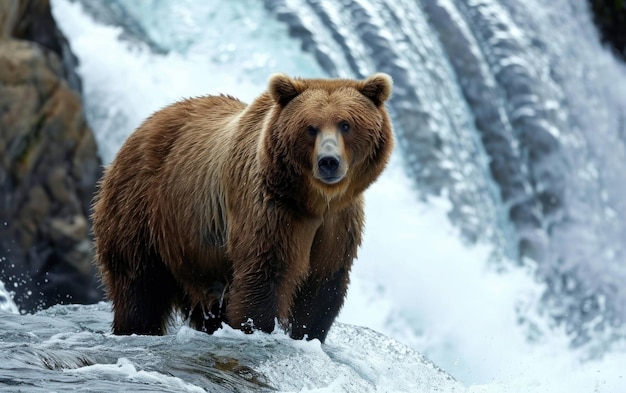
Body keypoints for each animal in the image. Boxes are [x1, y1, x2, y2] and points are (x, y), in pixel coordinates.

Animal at [90, 72, 392, 342]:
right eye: (310, 127)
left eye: (345, 124)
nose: (328, 161)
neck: (315, 201)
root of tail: (144, 125)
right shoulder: (270, 207)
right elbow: (265, 273)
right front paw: (256, 328)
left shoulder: (339, 224)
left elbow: (322, 285)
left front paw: (306, 333)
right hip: (141, 208)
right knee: (139, 284)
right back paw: (136, 327)